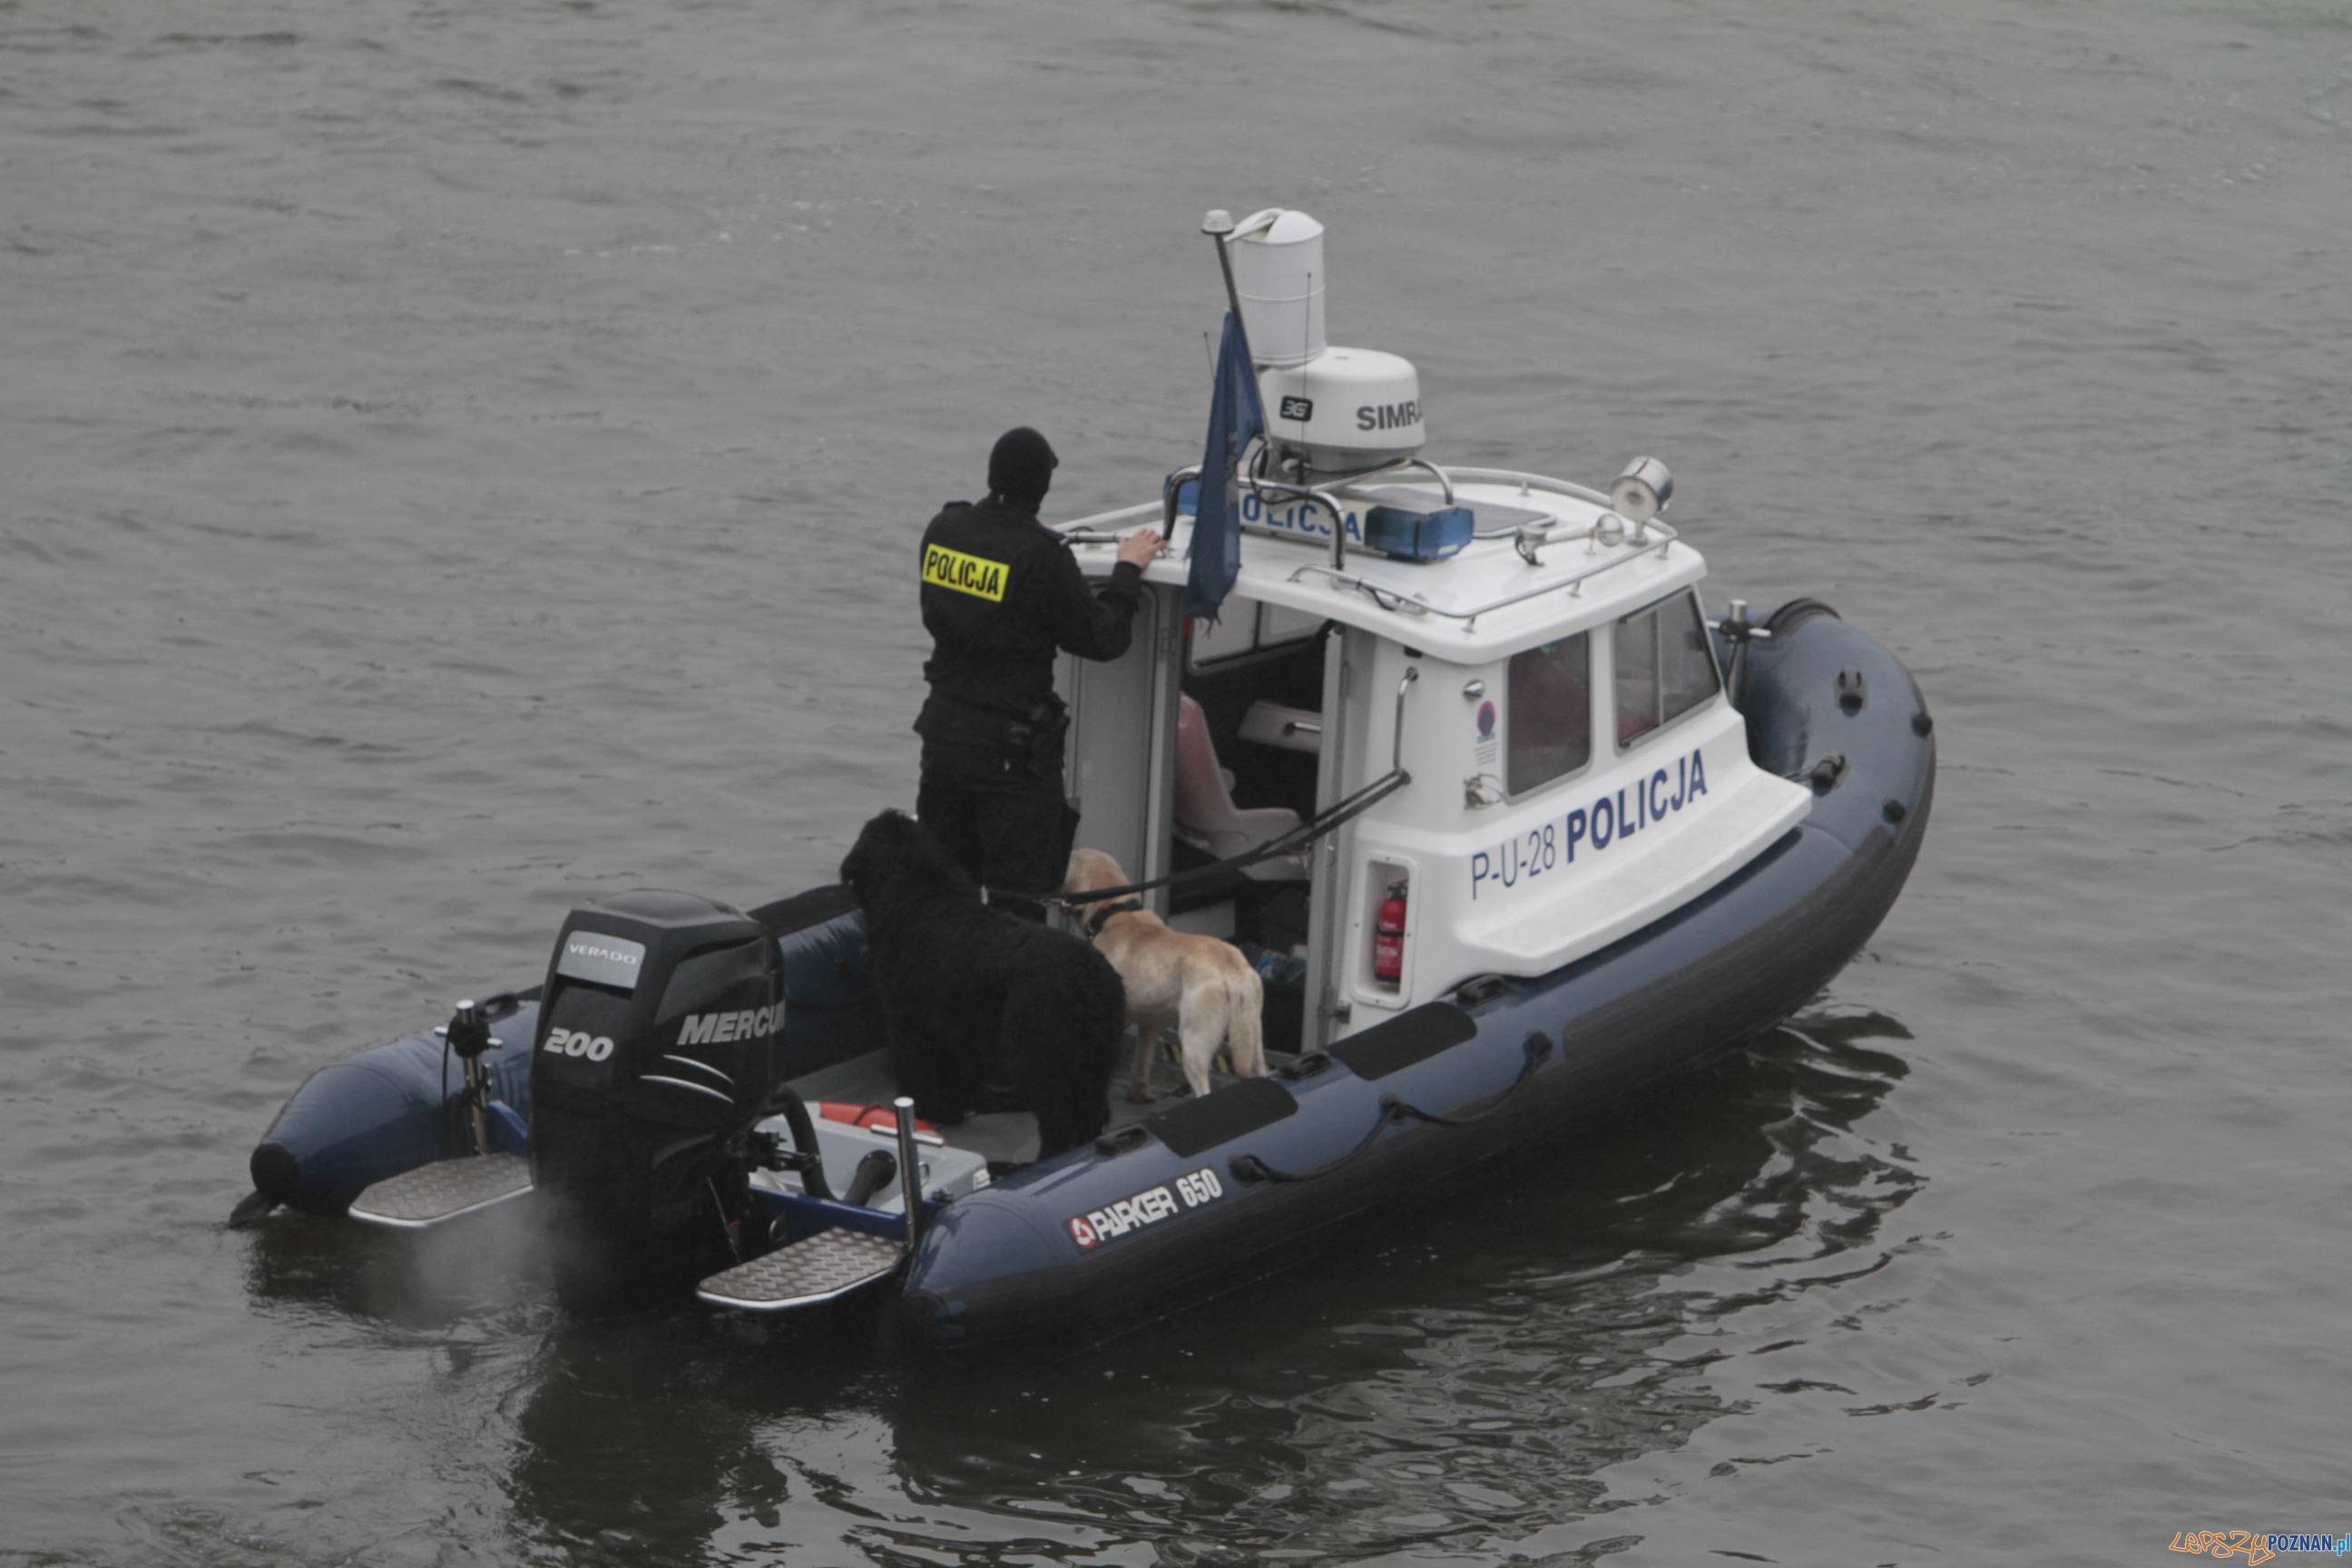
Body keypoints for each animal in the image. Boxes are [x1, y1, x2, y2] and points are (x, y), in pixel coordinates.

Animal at [841, 818, 1123, 1161]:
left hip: (1039, 1058)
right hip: (1094, 1064)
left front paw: (927, 1113)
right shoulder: (952, 1025)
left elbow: (916, 1071)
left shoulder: (908, 1021)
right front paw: (950, 1111)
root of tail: (1090, 978)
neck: (919, 898)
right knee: (1088, 1117)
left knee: (1056, 1122)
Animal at [1067, 850, 1269, 1100]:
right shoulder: (1149, 1022)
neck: (1113, 912)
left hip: (1193, 1044)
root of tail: (1231, 967)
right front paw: (1139, 1095)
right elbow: (1142, 1061)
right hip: (1253, 1038)